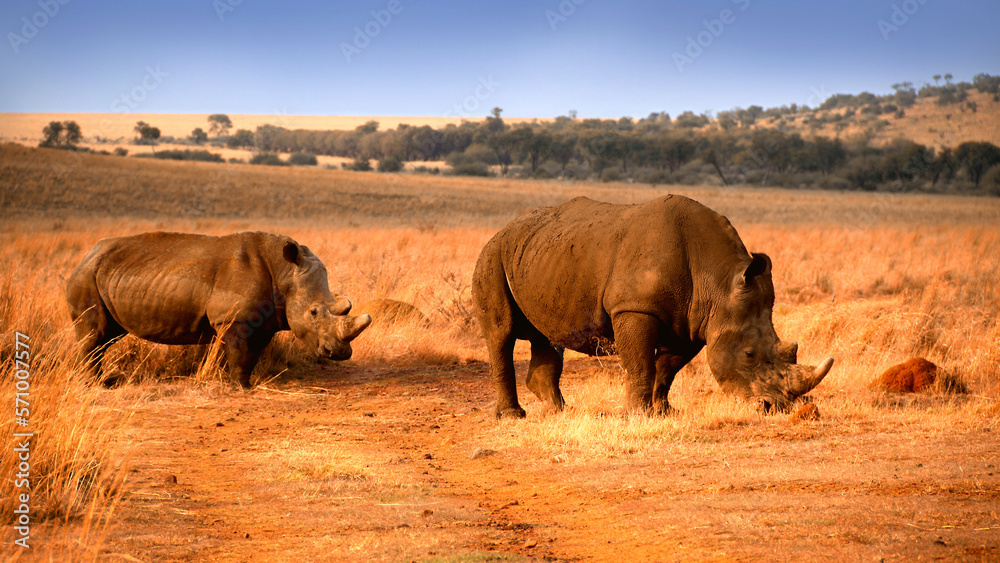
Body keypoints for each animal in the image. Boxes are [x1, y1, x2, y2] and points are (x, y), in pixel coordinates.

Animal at [66, 231, 371, 387]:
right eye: (314, 312)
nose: (340, 354)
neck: (285, 273)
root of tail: (86, 255)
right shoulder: (232, 319)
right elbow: (239, 354)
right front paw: (242, 388)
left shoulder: (265, 321)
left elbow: (251, 355)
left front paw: (246, 383)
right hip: (86, 277)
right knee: (95, 333)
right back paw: (95, 385)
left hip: (104, 276)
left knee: (109, 335)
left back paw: (102, 381)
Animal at [472, 195, 833, 418]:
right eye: (749, 355)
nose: (776, 408)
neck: (717, 281)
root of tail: (502, 230)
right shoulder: (635, 308)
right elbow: (641, 363)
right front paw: (637, 414)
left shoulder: (693, 321)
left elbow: (668, 367)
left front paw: (664, 411)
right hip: (492, 256)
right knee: (501, 334)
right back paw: (513, 417)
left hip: (542, 254)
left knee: (545, 335)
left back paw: (558, 411)